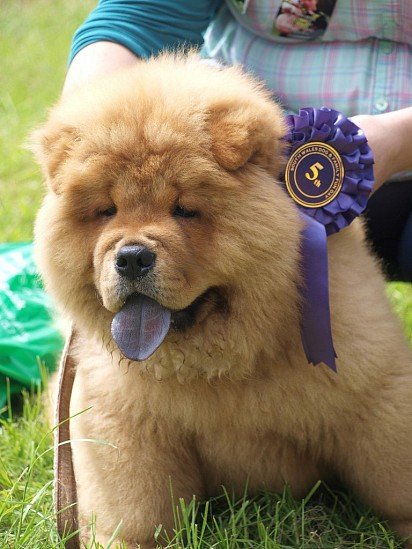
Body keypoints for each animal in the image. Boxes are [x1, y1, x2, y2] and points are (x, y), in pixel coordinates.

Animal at [32, 54, 412, 544]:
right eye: (106, 211)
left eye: (184, 209)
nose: (132, 257)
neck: (217, 365)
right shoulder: (126, 428)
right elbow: (136, 516)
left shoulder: (371, 391)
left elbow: (393, 480)